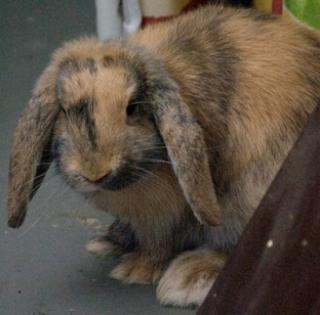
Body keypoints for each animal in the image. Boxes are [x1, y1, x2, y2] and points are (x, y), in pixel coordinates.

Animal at [6, 4, 320, 308]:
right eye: (65, 109)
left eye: (132, 107)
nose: (95, 171)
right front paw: (109, 242)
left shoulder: (168, 216)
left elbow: (160, 245)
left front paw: (134, 270)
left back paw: (188, 278)